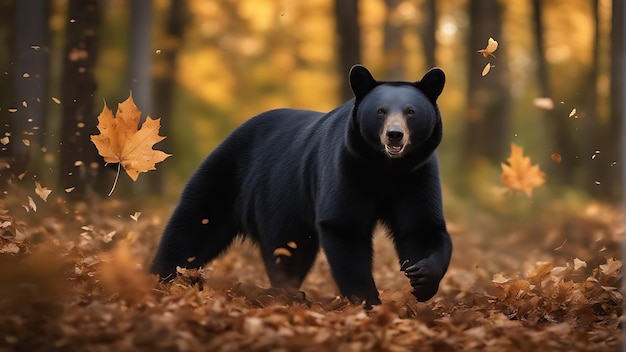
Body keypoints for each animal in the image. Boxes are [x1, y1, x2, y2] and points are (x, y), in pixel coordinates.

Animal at [152, 64, 454, 306]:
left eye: (411, 112)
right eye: (380, 111)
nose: (394, 135)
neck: (386, 168)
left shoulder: (417, 176)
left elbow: (422, 227)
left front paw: (422, 278)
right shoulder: (346, 168)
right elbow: (343, 226)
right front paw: (367, 299)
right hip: (236, 178)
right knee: (194, 227)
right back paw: (162, 276)